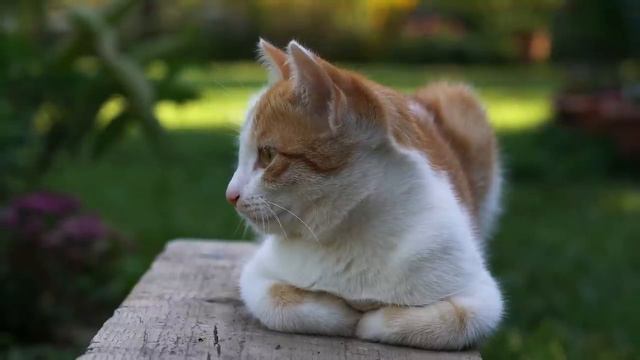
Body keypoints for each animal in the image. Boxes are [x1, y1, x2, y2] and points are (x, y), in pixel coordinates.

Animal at [226, 38, 504, 348]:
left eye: (268, 155)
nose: (230, 194)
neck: (350, 233)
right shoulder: (257, 276)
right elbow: (282, 304)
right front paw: (342, 311)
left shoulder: (483, 297)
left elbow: (451, 321)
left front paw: (371, 319)